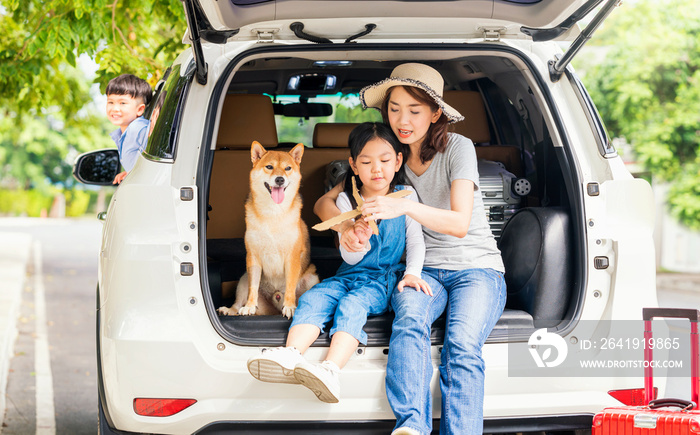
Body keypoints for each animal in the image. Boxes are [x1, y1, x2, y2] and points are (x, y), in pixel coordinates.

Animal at [216, 141, 320, 318]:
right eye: (269, 167)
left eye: (287, 168)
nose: (279, 179)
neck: (273, 213)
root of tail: (274, 306)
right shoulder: (253, 257)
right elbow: (252, 288)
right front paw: (249, 306)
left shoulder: (292, 257)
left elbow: (290, 286)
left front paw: (290, 306)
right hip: (244, 278)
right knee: (239, 301)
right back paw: (230, 310)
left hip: (312, 278)